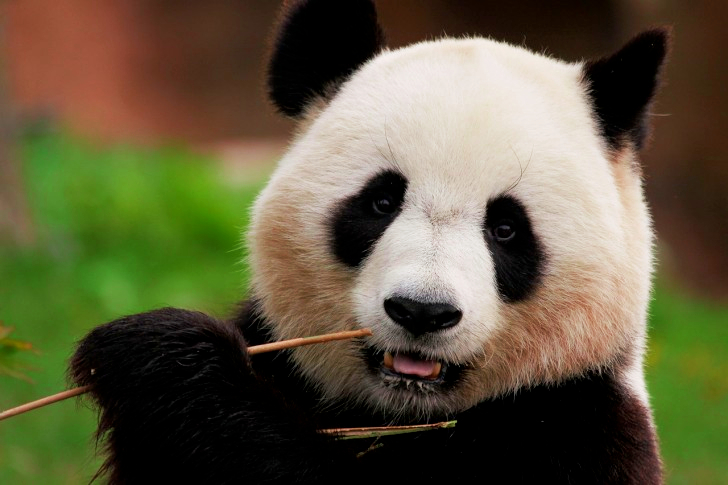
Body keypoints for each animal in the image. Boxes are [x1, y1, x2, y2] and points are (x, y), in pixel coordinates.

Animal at [70, 0, 669, 483]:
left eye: (506, 228)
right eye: (381, 202)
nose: (422, 311)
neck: (400, 414)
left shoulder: (572, 430)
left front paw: (158, 353)